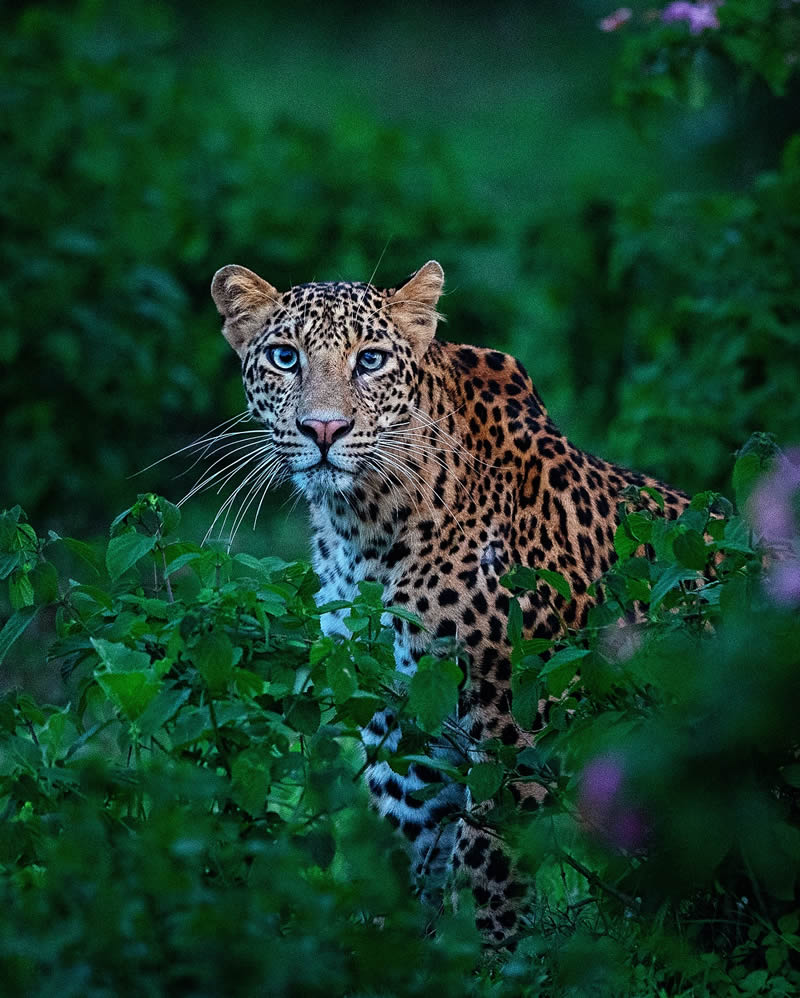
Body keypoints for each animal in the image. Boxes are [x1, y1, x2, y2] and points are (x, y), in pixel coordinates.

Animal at [208, 258, 688, 944]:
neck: (364, 526)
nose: (323, 429)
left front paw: (491, 954)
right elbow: (409, 848)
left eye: (371, 360)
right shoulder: (399, 715)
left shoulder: (515, 721)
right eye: (283, 357)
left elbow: (487, 858)